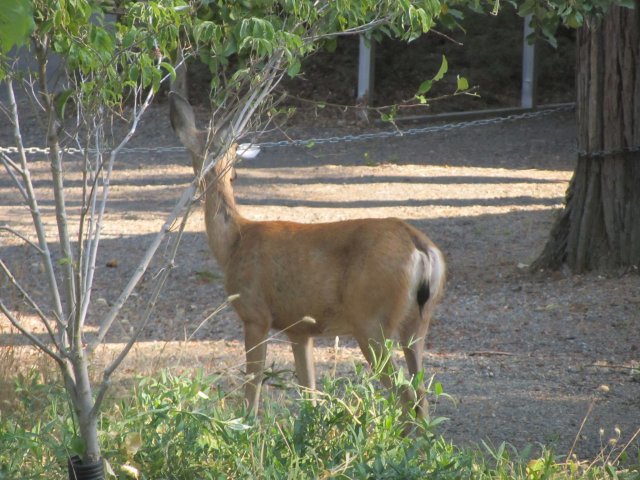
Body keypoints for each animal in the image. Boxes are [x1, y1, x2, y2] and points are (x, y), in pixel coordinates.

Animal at [172, 91, 448, 420]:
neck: (234, 242)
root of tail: (421, 247)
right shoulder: (300, 329)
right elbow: (310, 396)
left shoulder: (255, 315)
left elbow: (253, 390)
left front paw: (245, 427)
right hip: (418, 323)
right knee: (422, 395)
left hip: (371, 321)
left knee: (407, 396)